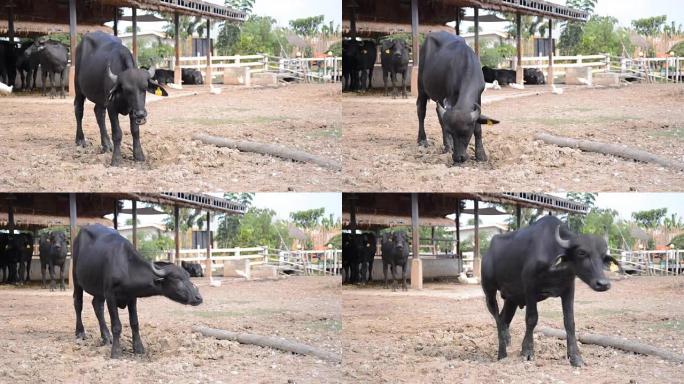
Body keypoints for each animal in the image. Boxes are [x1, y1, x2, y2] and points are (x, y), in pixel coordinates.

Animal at [75, 224, 203, 358]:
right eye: (178, 279)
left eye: (188, 277)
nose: (198, 297)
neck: (126, 267)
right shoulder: (110, 295)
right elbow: (116, 325)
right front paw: (116, 351)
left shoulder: (132, 297)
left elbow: (135, 322)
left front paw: (139, 347)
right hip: (76, 279)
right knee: (78, 303)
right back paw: (80, 332)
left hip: (99, 290)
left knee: (97, 305)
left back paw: (106, 336)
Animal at [414, 32, 500, 164]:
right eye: (452, 132)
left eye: (466, 133)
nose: (458, 158)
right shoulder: (450, 97)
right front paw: (450, 145)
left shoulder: (478, 96)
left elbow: (478, 128)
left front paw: (481, 154)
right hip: (421, 87)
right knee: (421, 110)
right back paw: (424, 140)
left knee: (439, 115)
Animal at [480, 216, 620, 366]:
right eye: (581, 252)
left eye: (603, 256)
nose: (603, 284)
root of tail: (487, 254)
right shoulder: (529, 288)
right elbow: (531, 319)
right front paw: (527, 351)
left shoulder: (568, 290)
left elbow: (569, 322)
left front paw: (576, 357)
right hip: (489, 292)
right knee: (497, 318)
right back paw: (502, 351)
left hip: (512, 298)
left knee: (503, 318)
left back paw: (506, 341)